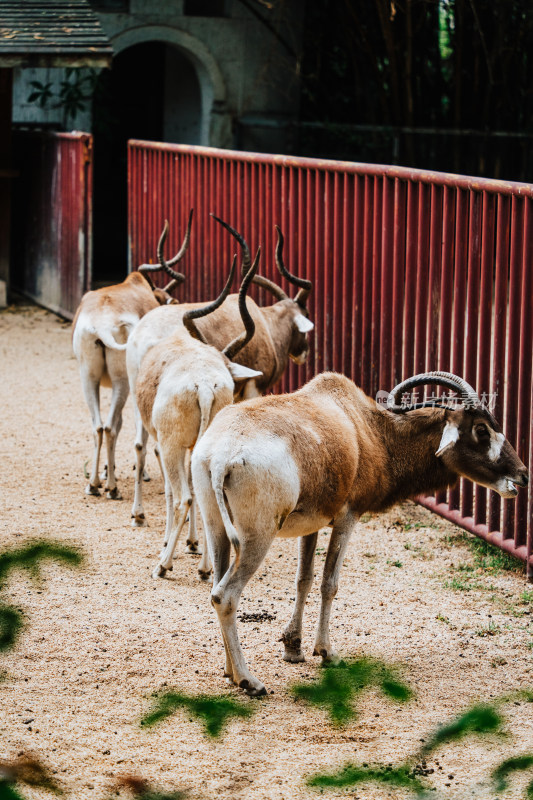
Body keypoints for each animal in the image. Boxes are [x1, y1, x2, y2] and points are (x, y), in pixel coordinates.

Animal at [71, 212, 192, 500]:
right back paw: (112, 488)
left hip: (88, 377)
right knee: (111, 427)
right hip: (122, 382)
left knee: (98, 425)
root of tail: (101, 323)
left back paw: (93, 484)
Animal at [191, 368, 528, 692]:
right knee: (225, 595)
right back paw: (249, 681)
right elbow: (329, 583)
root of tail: (221, 455)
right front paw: (327, 653)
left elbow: (304, 580)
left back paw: (229, 671)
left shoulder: (311, 524)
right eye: (481, 430)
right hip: (257, 537)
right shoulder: (348, 518)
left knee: (216, 587)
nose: (522, 475)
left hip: (217, 528)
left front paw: (293, 647)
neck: (367, 430)